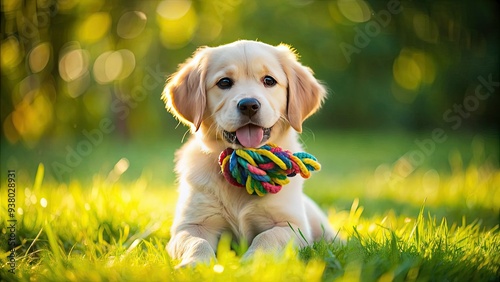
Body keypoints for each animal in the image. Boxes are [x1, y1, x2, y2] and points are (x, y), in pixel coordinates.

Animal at [164, 39, 334, 266]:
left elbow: (268, 237)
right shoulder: (192, 224)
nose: (249, 105)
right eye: (224, 82)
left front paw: (253, 262)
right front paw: (195, 264)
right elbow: (196, 242)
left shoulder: (292, 224)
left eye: (269, 80)